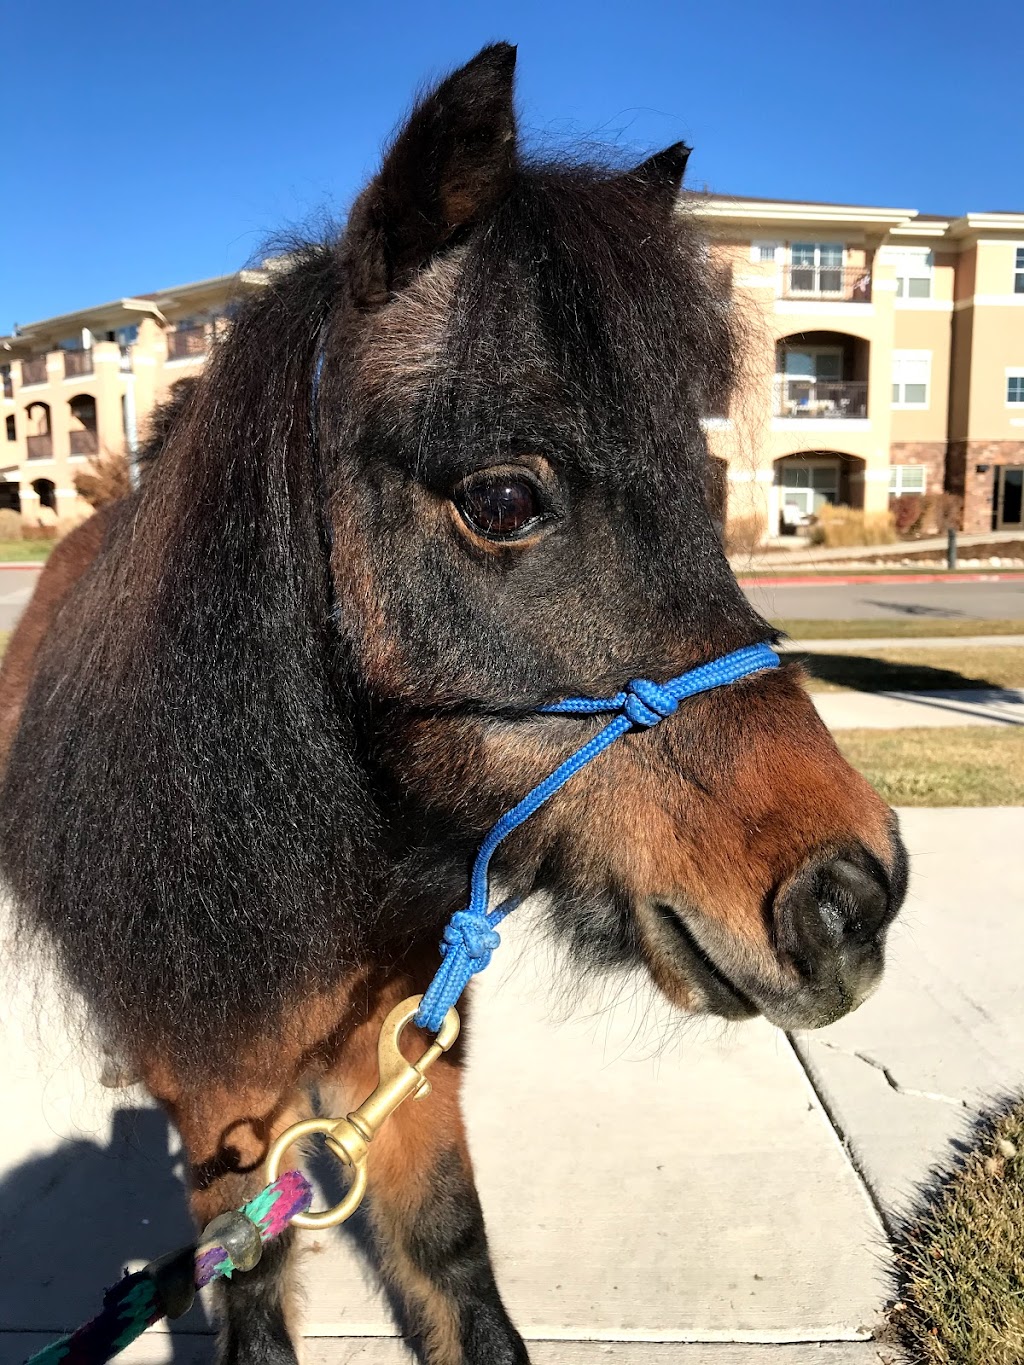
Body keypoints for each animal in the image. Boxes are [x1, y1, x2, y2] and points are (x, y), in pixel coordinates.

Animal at [0, 42, 912, 1365]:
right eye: (502, 499)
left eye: (701, 485)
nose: (851, 896)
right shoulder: (228, 1121)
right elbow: (253, 1295)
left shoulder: (409, 1080)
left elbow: (457, 1274)